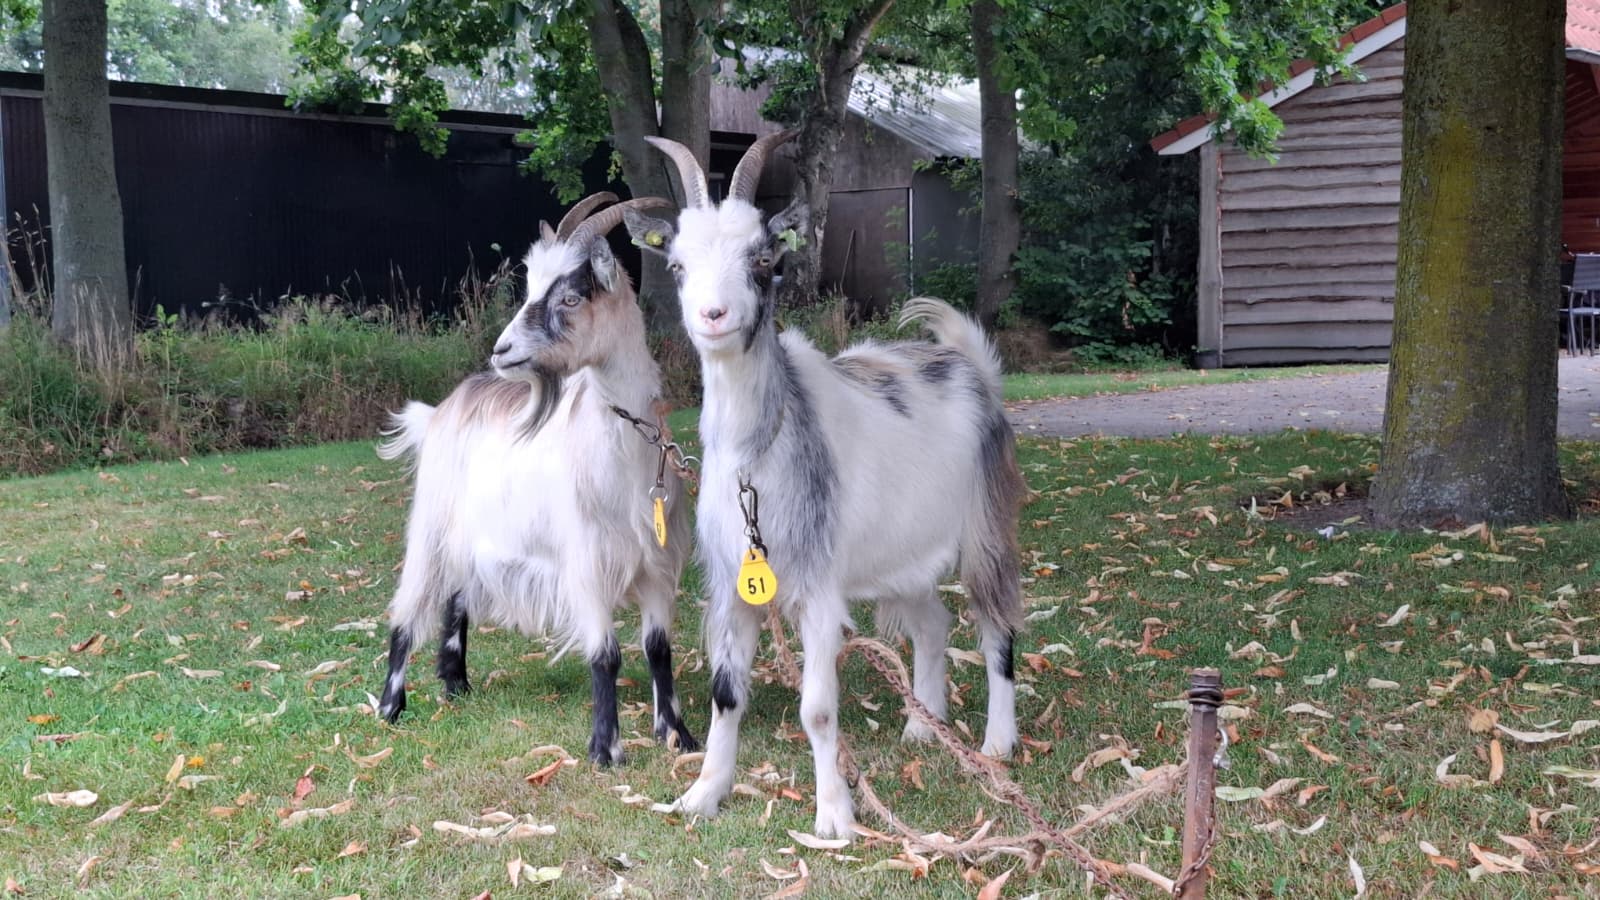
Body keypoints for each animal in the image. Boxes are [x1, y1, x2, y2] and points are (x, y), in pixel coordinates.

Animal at [374, 192, 698, 765]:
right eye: (529, 287)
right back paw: (392, 706)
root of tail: (441, 410)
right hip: (432, 523)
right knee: (409, 606)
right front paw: (605, 750)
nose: (502, 351)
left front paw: (676, 735)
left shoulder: (658, 566)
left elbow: (659, 649)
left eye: (569, 297)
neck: (625, 463)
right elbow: (605, 654)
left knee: (457, 596)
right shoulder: (586, 564)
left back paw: (456, 683)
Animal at [624, 133, 1028, 838]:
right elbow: (725, 696)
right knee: (933, 623)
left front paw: (835, 817)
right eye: (675, 264)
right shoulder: (733, 585)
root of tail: (971, 367)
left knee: (996, 623)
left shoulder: (818, 588)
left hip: (985, 526)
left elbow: (816, 706)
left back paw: (997, 742)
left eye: (763, 259)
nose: (713, 315)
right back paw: (924, 726)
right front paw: (704, 794)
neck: (757, 459)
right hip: (902, 553)